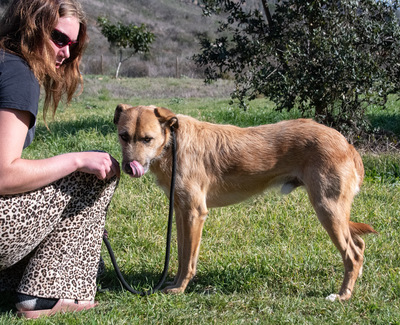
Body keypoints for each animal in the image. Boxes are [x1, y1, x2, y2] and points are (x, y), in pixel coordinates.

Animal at [114, 104, 376, 302]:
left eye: (147, 139)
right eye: (123, 136)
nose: (128, 167)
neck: (172, 145)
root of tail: (346, 143)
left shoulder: (195, 213)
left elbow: (188, 260)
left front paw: (180, 289)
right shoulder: (181, 211)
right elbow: (181, 255)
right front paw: (176, 283)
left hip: (327, 209)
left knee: (352, 254)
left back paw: (342, 296)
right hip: (334, 211)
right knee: (359, 245)